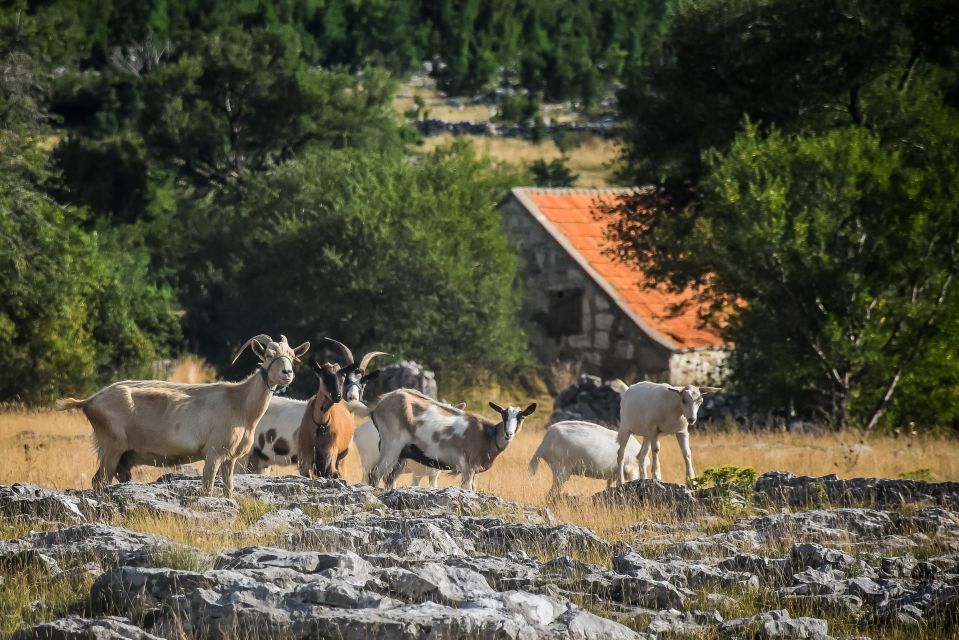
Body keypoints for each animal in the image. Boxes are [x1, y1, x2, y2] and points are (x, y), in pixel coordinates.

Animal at [56, 332, 310, 498]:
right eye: (267, 355)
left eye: (291, 355)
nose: (287, 373)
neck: (239, 403)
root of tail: (90, 400)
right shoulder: (214, 453)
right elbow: (207, 488)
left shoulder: (231, 457)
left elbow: (228, 489)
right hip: (111, 445)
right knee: (99, 481)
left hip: (120, 454)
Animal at [368, 390, 536, 490]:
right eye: (503, 414)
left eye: (522, 416)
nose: (509, 433)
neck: (489, 435)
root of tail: (382, 403)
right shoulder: (468, 467)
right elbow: (467, 489)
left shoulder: (474, 471)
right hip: (392, 445)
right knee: (375, 474)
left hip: (402, 454)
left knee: (389, 478)